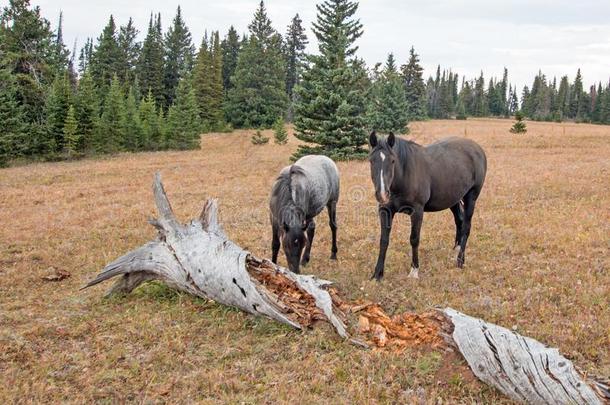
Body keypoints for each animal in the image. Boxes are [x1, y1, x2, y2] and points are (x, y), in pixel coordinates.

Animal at [366, 131, 484, 280]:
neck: (405, 175)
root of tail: (477, 148)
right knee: (460, 221)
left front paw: (414, 270)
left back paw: (460, 261)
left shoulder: (417, 211)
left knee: (467, 226)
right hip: (453, 199)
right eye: (371, 161)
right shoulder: (385, 210)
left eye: (393, 161)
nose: (382, 194)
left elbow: (414, 239)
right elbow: (384, 240)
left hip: (471, 197)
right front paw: (377, 274)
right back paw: (455, 250)